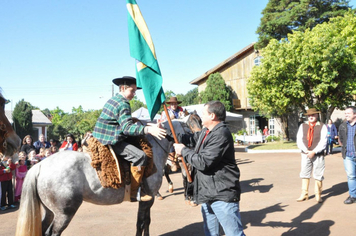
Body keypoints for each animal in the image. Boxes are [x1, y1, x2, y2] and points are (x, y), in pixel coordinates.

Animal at [15, 120, 192, 236]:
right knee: (51, 233)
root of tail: (40, 166)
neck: (152, 153)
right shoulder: (147, 199)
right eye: (190, 127)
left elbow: (145, 222)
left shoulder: (146, 201)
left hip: (49, 211)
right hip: (64, 214)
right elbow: (142, 222)